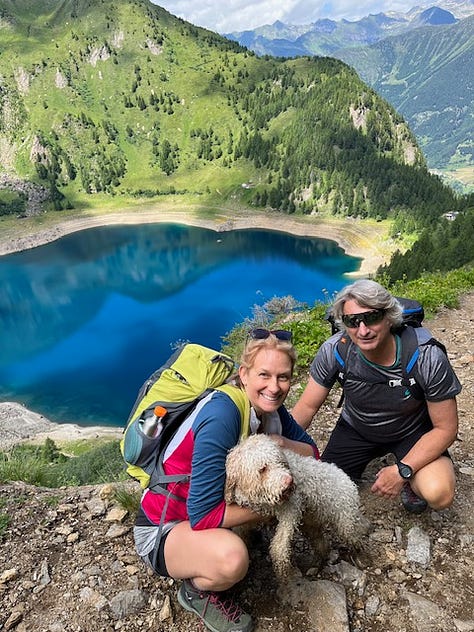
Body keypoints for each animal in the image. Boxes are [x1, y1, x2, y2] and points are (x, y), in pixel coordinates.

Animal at [226, 434, 366, 576]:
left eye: (280, 462)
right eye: (263, 469)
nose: (289, 480)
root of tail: (347, 479)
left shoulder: (291, 510)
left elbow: (279, 546)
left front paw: (283, 571)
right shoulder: (243, 521)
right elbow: (241, 534)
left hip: (345, 521)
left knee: (356, 539)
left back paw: (359, 558)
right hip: (312, 526)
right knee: (323, 545)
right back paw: (317, 564)